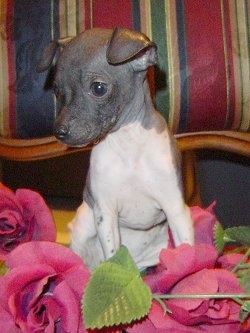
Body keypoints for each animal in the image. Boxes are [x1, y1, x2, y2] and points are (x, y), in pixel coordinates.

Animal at [37, 27, 194, 268]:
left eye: (99, 88)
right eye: (56, 90)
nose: (59, 132)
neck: (129, 146)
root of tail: (137, 262)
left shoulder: (176, 209)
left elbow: (190, 252)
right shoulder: (106, 214)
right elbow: (113, 256)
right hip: (85, 222)